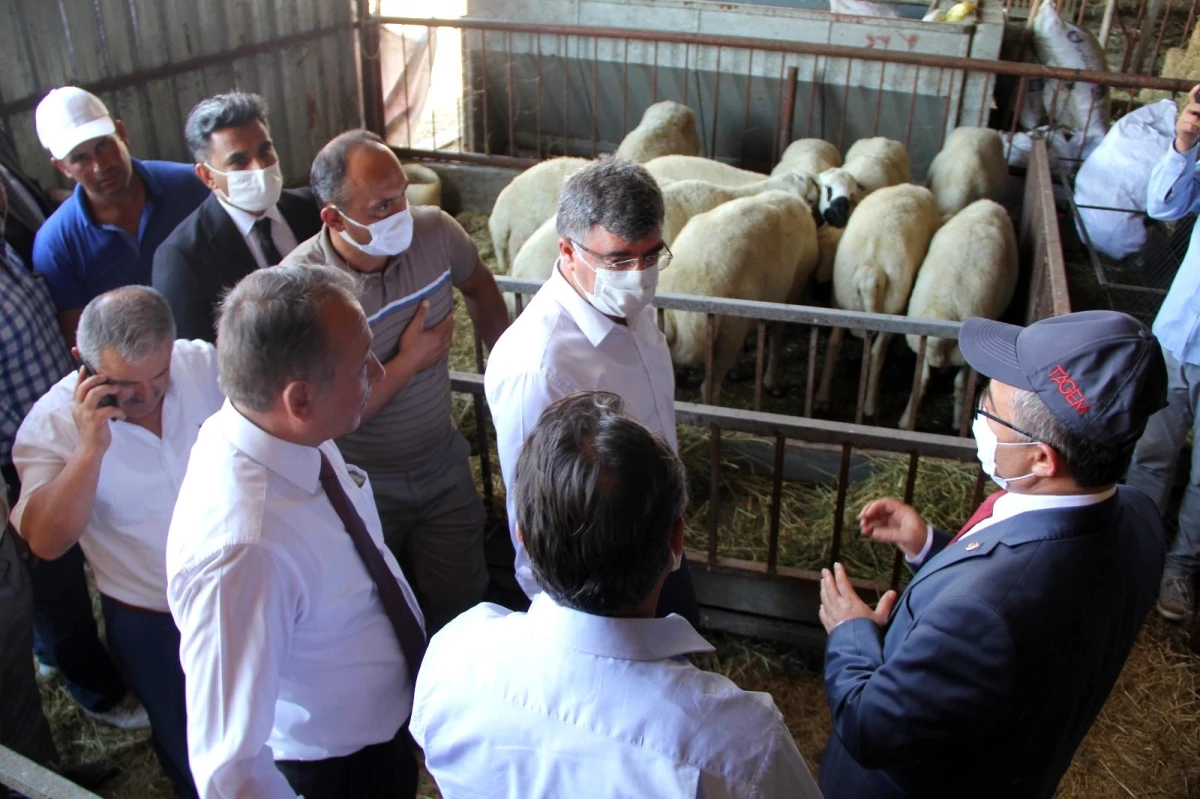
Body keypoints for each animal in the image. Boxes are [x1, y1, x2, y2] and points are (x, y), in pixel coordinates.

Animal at [820, 182, 940, 412]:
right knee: (876, 353)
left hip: (841, 299)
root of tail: (870, 272)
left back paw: (823, 397)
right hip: (892, 308)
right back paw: (869, 405)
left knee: (833, 342)